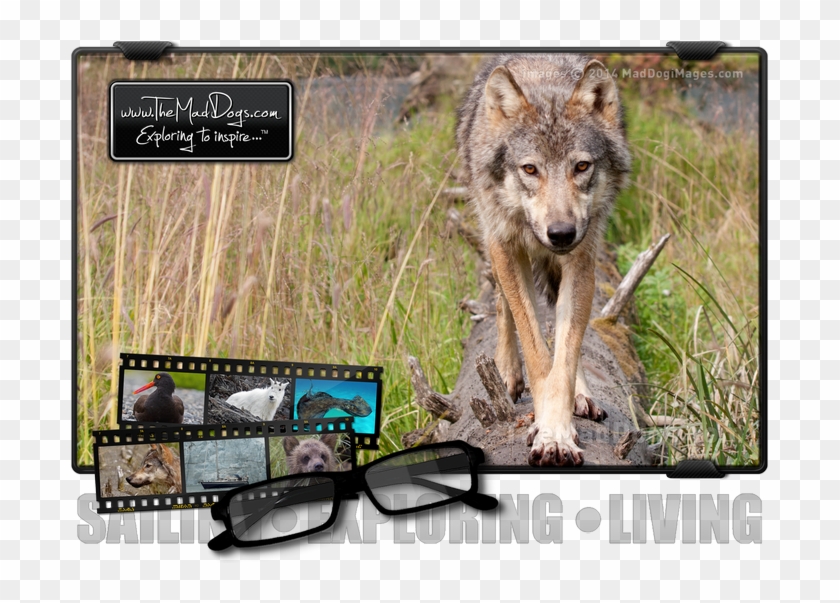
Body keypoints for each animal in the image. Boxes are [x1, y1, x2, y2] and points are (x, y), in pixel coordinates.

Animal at [457, 54, 631, 466]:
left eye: (581, 167)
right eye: (530, 169)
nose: (561, 233)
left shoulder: (582, 258)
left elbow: (564, 356)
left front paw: (558, 432)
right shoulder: (507, 246)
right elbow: (535, 351)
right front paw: (546, 430)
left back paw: (582, 393)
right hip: (495, 241)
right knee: (502, 305)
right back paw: (506, 372)